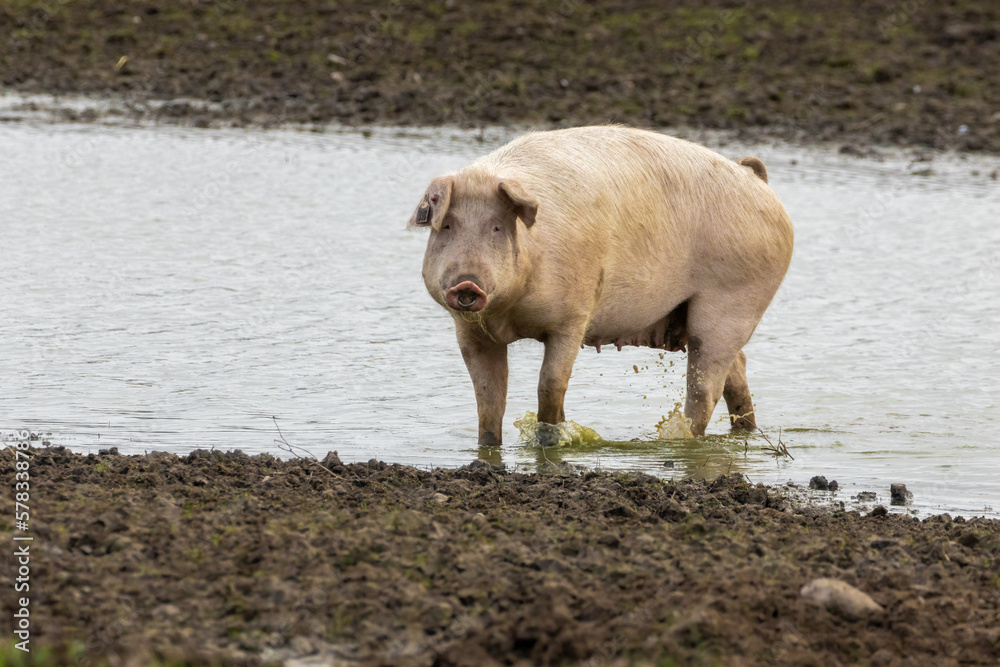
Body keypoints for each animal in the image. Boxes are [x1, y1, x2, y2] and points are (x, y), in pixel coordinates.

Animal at [408, 126, 793, 446]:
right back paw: (743, 433)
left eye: (497, 227)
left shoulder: (574, 315)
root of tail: (758, 182)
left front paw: (552, 440)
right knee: (736, 370)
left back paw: (682, 441)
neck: (509, 314)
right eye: (448, 227)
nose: (466, 284)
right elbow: (488, 399)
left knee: (705, 386)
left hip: (735, 301)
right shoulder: (470, 332)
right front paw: (488, 447)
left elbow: (551, 384)